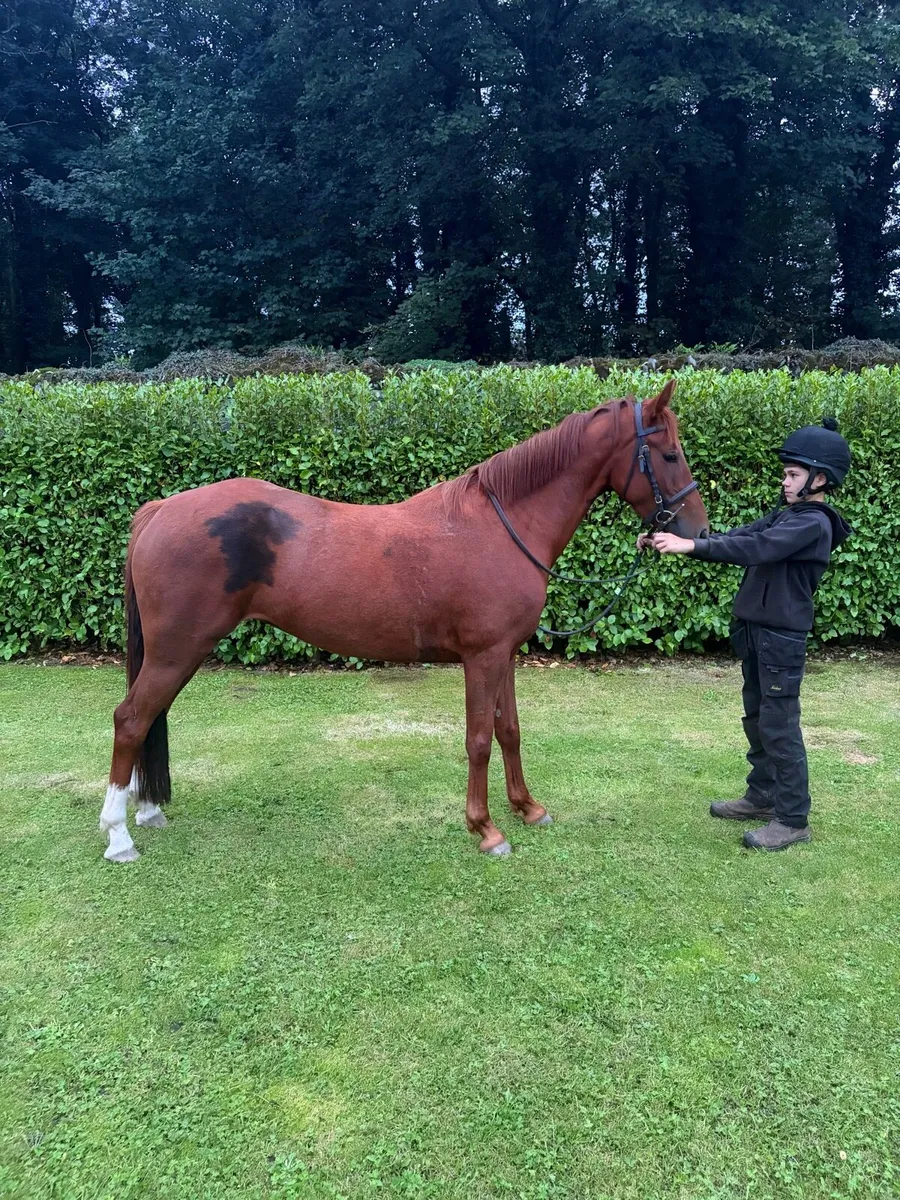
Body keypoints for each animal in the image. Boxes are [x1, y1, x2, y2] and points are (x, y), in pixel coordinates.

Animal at [99, 380, 708, 863]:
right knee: (131, 720)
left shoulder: (505, 654)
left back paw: (147, 812)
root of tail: (160, 509)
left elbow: (509, 731)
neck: (502, 524)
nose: (697, 532)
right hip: (178, 650)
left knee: (149, 720)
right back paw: (119, 836)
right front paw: (486, 830)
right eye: (669, 454)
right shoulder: (482, 656)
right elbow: (479, 739)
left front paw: (528, 808)